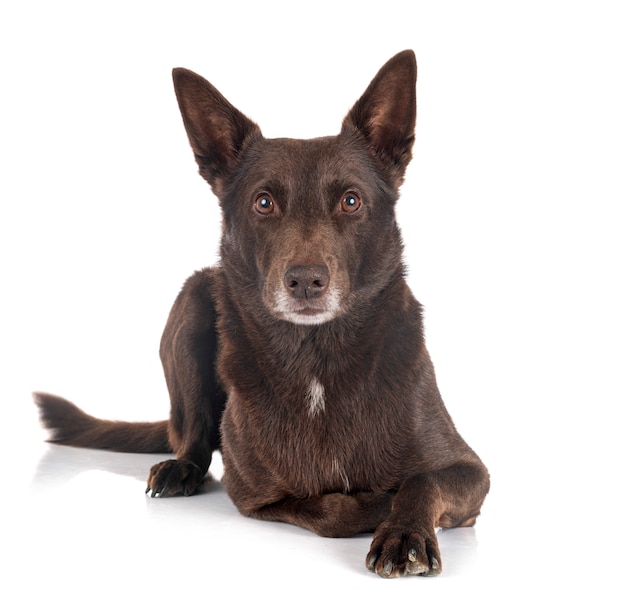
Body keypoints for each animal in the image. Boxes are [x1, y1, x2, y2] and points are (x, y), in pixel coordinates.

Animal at [34, 50, 488, 576]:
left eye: (351, 201)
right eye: (264, 202)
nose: (306, 280)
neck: (316, 359)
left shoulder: (471, 469)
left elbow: (422, 481)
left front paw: (404, 533)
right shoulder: (254, 493)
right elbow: (332, 508)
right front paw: (375, 503)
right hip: (192, 299)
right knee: (191, 438)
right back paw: (180, 469)